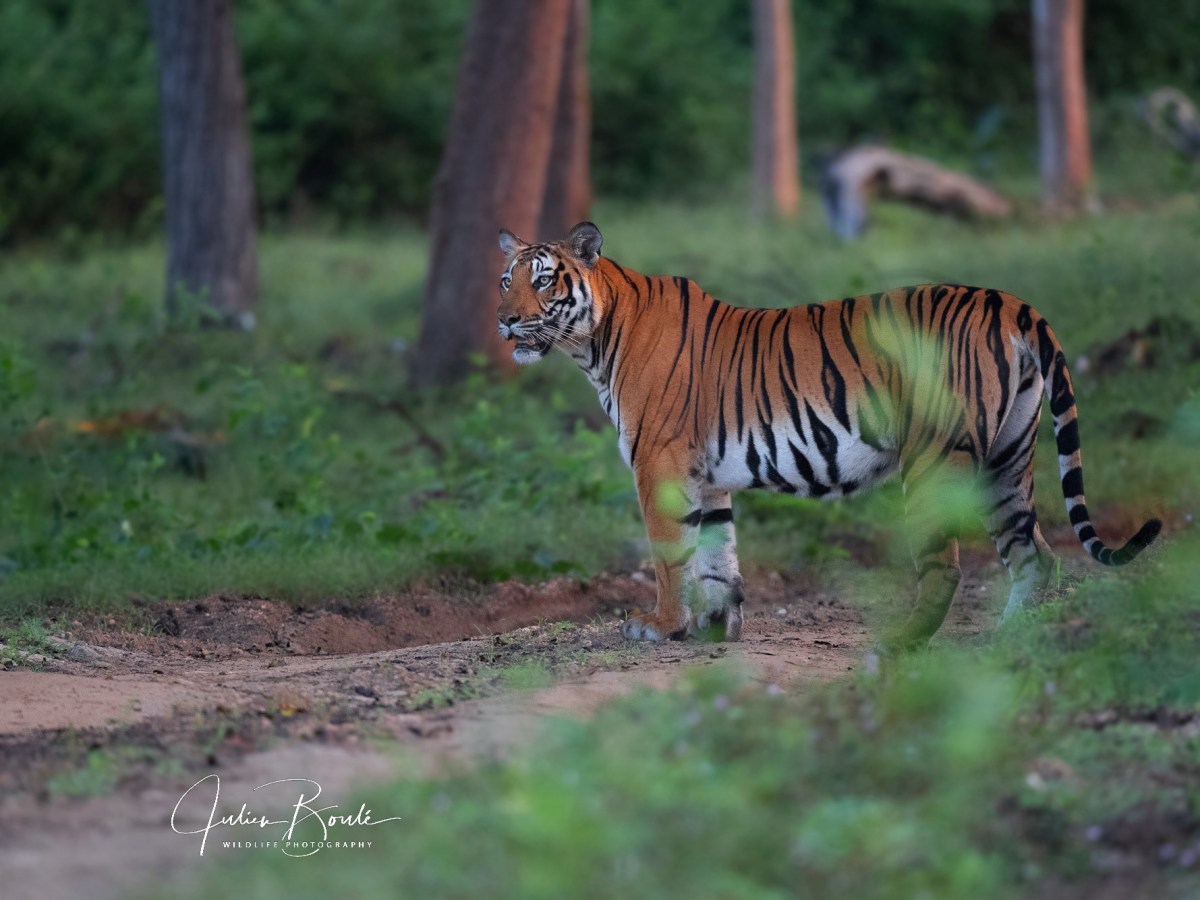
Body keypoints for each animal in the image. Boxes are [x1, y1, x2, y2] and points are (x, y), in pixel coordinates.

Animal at [496, 221, 1162, 650]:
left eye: (545, 280)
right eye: (507, 281)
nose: (504, 319)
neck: (594, 343)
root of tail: (1007, 301)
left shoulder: (657, 464)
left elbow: (669, 555)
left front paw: (660, 627)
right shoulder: (703, 476)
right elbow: (715, 554)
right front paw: (712, 629)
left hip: (934, 461)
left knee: (946, 568)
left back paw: (900, 644)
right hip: (1006, 460)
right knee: (1035, 556)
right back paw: (1005, 643)